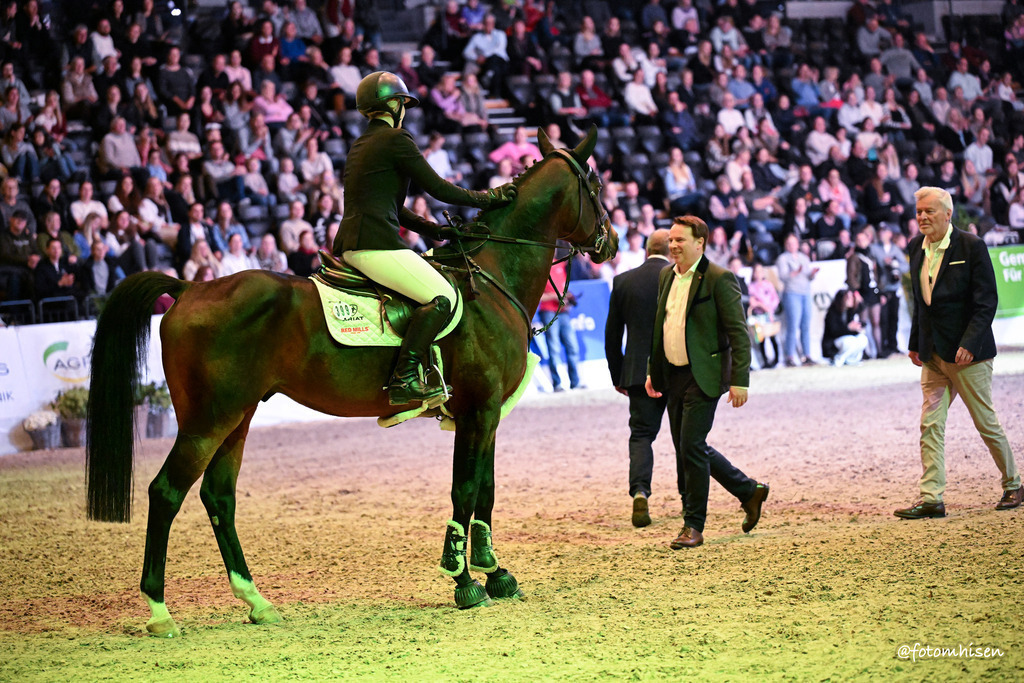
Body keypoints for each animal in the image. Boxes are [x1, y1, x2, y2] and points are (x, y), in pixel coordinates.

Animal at [85, 125, 617, 637]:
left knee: (219, 495)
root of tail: (188, 287)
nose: (610, 243)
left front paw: (496, 572)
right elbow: (464, 491)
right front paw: (464, 580)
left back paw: (257, 602)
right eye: (594, 186)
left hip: (238, 416)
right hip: (207, 420)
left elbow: (484, 489)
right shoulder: (479, 410)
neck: (490, 278)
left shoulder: (483, 415)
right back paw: (160, 612)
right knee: (165, 493)